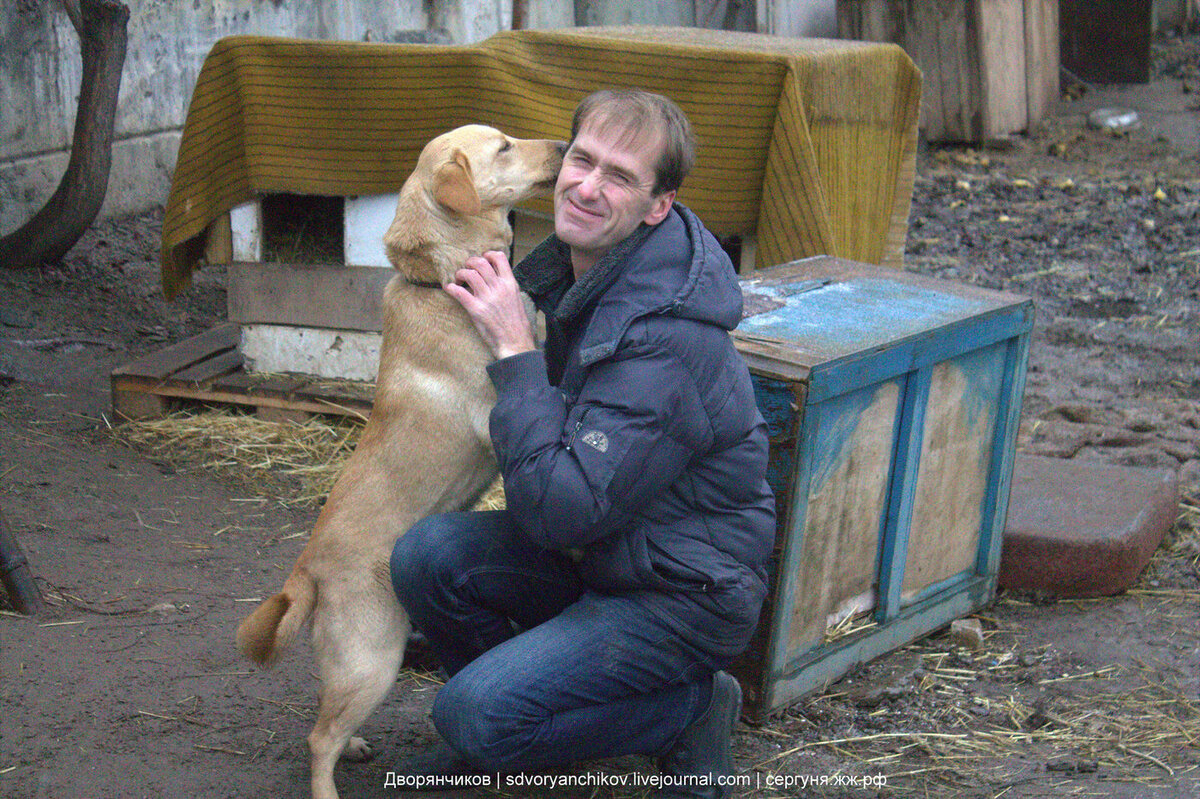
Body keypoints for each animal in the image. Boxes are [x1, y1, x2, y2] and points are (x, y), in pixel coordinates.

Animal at [238, 124, 566, 796]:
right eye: (503, 146)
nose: (566, 145)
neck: (442, 280)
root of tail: (306, 569)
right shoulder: (498, 414)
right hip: (375, 659)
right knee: (317, 739)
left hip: (357, 664)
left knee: (326, 718)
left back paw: (356, 747)